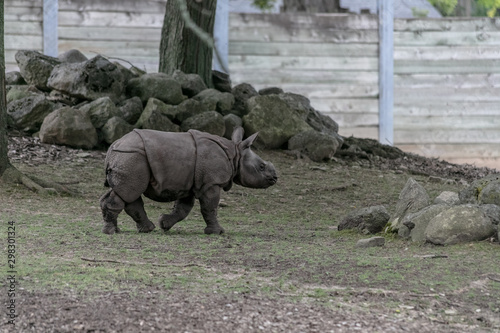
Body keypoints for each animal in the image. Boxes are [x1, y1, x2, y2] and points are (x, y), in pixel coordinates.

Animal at [98, 126, 278, 233]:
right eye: (262, 167)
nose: (275, 178)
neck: (235, 154)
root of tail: (113, 146)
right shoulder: (211, 183)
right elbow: (210, 207)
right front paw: (217, 232)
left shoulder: (189, 183)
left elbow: (183, 209)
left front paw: (164, 224)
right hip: (132, 157)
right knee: (128, 192)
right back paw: (112, 232)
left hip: (128, 158)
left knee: (127, 192)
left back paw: (144, 229)